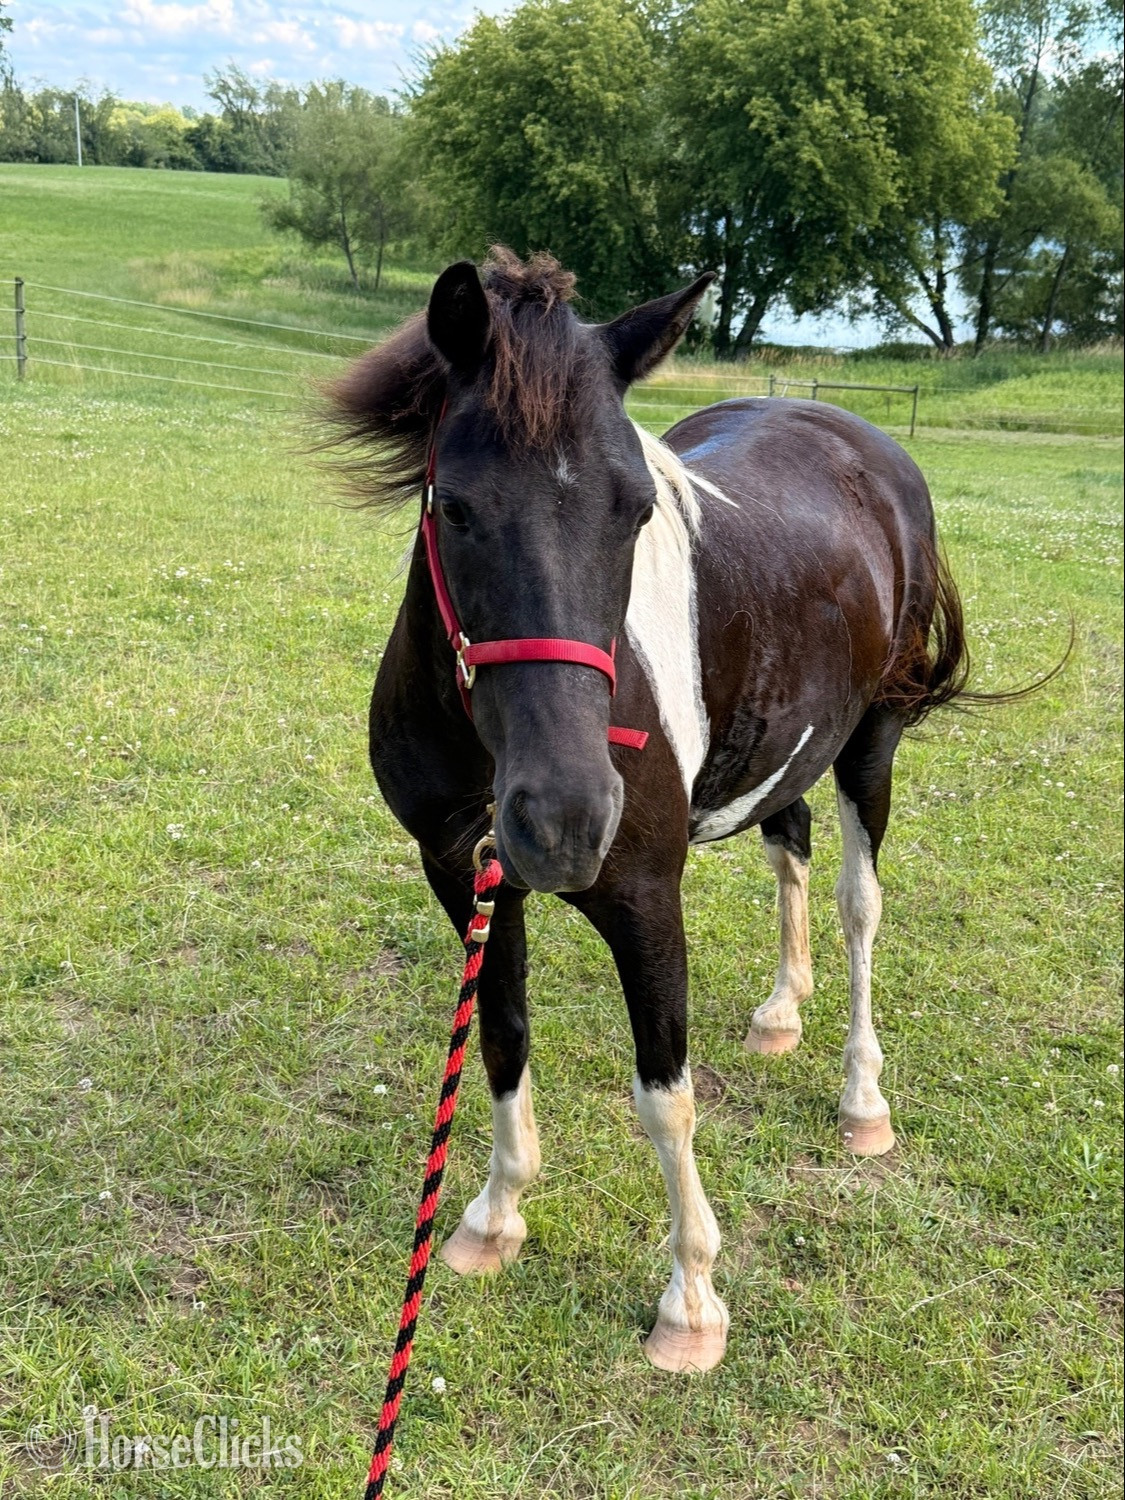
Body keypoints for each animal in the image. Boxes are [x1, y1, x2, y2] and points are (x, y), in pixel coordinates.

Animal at [325, 247, 972, 1375]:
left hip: (871, 746)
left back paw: (862, 1098)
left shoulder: (641, 898)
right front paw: (493, 1218)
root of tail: (859, 438)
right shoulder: (465, 877)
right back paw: (779, 1013)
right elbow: (500, 1040)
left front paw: (692, 1302)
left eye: (635, 512)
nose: (566, 819)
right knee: (791, 849)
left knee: (859, 907)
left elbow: (665, 1098)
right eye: (455, 508)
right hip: (786, 746)